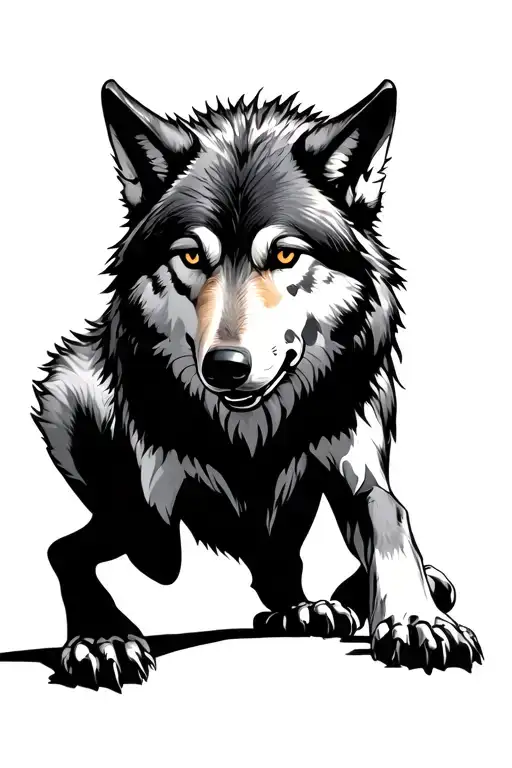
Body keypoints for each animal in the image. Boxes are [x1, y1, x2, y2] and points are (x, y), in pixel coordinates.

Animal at [33, 79, 482, 689]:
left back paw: (318, 604)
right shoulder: (146, 510)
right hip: (66, 386)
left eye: (286, 254)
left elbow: (392, 520)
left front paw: (419, 617)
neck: (251, 436)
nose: (225, 366)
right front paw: (103, 637)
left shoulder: (355, 461)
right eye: (191, 255)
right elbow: (77, 550)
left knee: (283, 567)